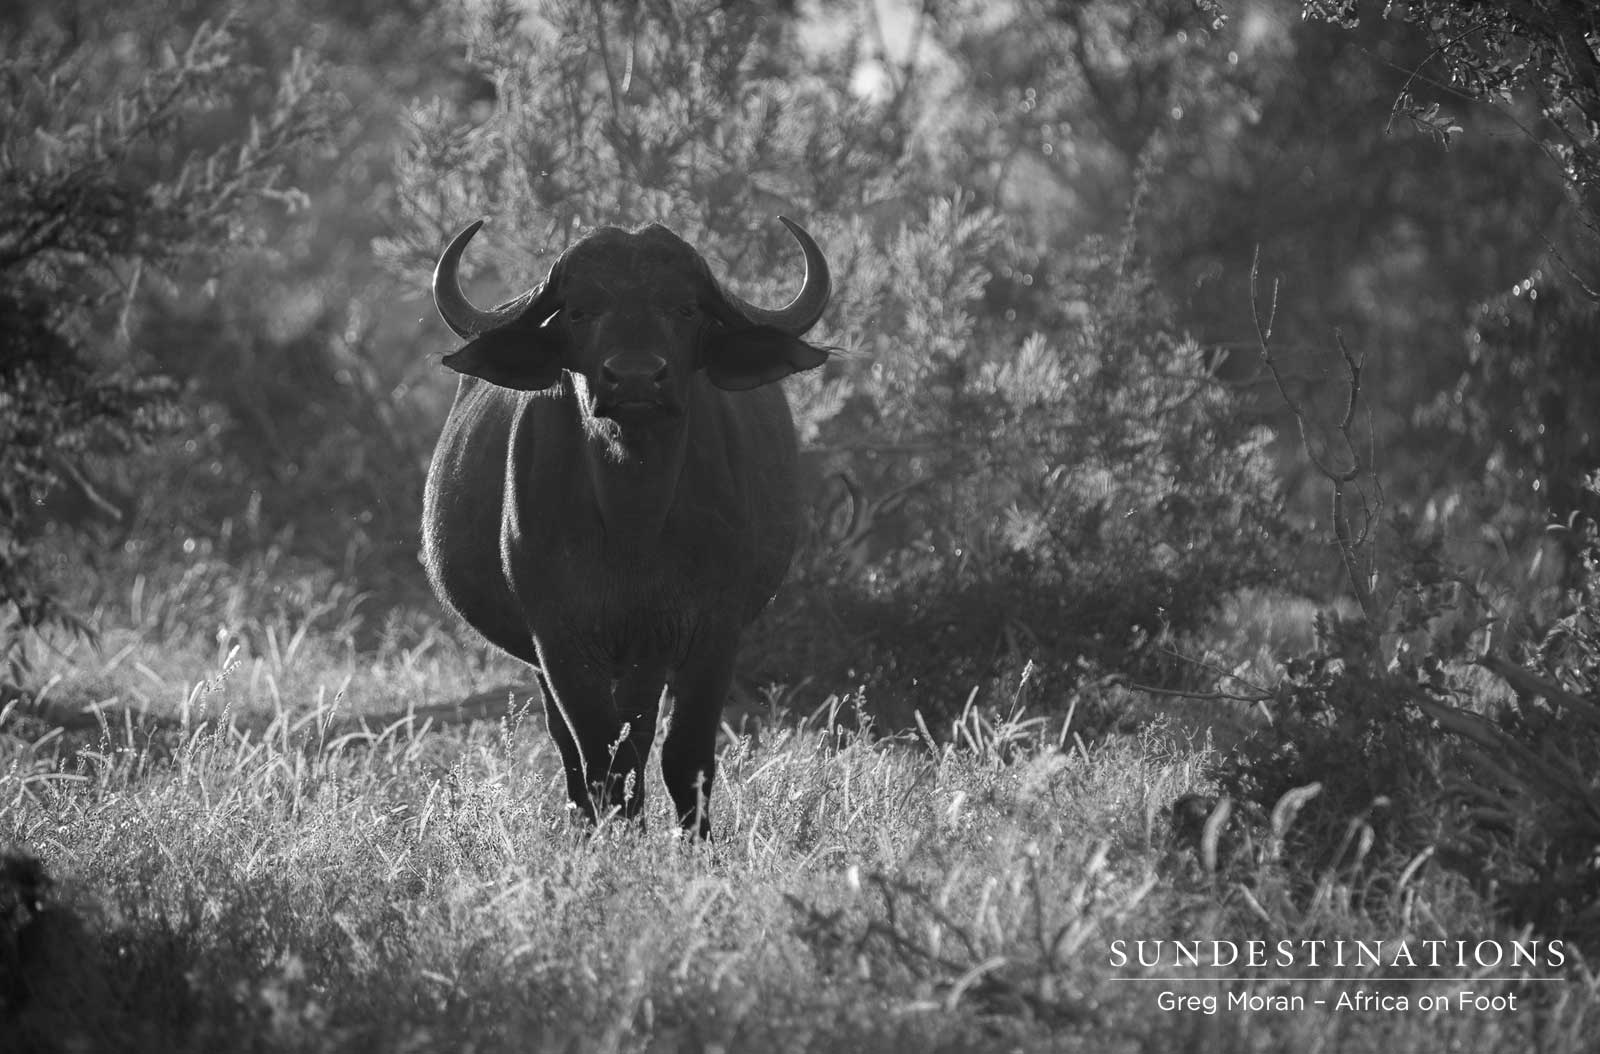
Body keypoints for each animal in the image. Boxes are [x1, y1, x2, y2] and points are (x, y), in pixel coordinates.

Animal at [423, 217, 831, 836]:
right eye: (579, 311)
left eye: (685, 308)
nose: (635, 378)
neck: (633, 518)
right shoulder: (559, 637)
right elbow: (600, 757)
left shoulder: (706, 632)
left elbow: (683, 755)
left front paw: (695, 843)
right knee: (577, 751)